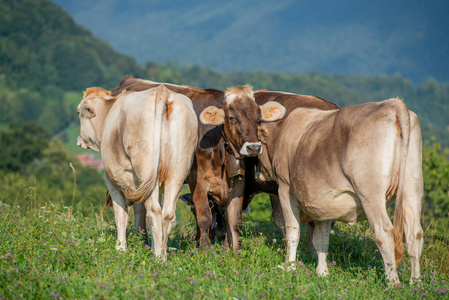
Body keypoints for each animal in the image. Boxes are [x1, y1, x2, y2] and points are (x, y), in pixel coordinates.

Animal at [77, 84, 198, 260]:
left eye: (79, 113)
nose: (79, 141)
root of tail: (162, 91)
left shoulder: (113, 182)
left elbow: (122, 215)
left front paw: (121, 248)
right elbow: (141, 215)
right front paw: (147, 244)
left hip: (146, 168)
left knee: (154, 211)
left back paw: (158, 258)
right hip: (176, 173)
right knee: (167, 213)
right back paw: (163, 254)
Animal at [109, 76, 284, 252]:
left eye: (259, 119)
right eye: (232, 118)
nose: (253, 147)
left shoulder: (238, 182)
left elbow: (234, 218)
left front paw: (231, 250)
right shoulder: (197, 181)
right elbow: (204, 216)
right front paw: (205, 249)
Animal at [254, 92, 422, 284]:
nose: (257, 173)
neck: (282, 132)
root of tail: (391, 104)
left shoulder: (284, 189)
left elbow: (293, 232)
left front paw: (289, 267)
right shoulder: (323, 203)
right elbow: (321, 238)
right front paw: (322, 272)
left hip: (371, 194)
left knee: (384, 233)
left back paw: (392, 282)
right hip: (412, 186)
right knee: (414, 233)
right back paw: (415, 282)